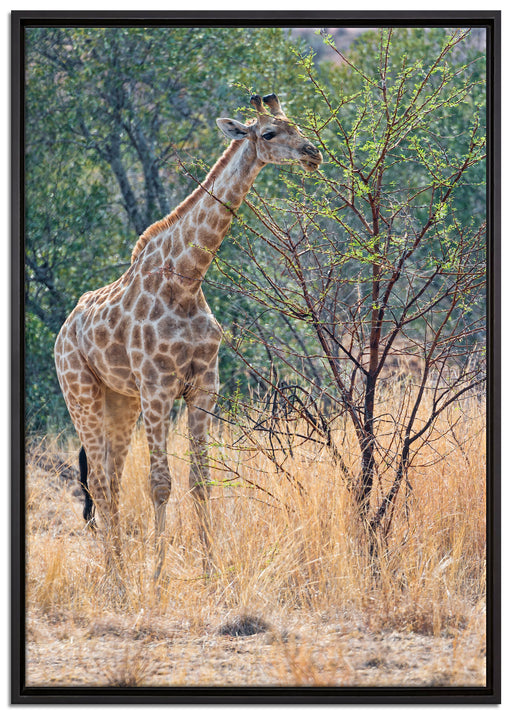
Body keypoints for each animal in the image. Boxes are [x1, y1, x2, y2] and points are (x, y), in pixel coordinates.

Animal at [54, 93, 323, 580]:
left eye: (295, 125)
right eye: (269, 133)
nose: (313, 154)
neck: (186, 280)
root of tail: (64, 330)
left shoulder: (203, 387)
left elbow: (201, 481)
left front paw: (211, 571)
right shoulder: (158, 388)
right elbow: (160, 483)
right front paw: (158, 576)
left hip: (120, 401)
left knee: (110, 481)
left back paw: (119, 572)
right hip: (80, 393)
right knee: (99, 482)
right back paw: (117, 578)